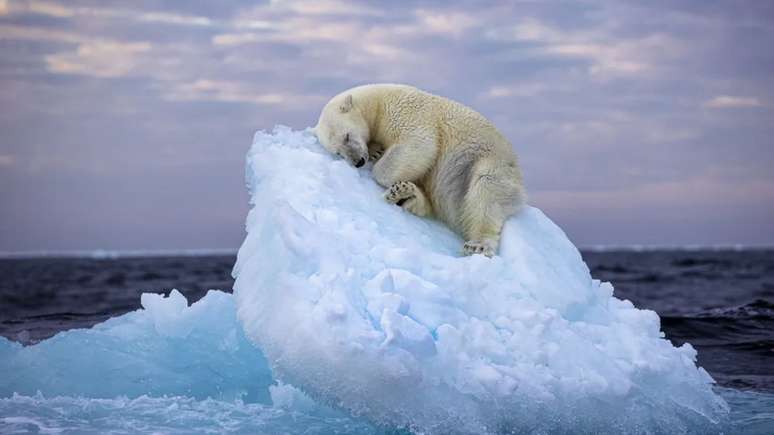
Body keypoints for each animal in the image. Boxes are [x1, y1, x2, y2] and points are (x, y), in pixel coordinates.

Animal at [316, 83, 528, 258]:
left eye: (347, 136)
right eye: (338, 152)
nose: (358, 161)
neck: (377, 101)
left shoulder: (405, 111)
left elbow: (419, 144)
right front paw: (376, 151)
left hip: (491, 163)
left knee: (486, 192)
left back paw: (478, 244)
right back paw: (404, 194)